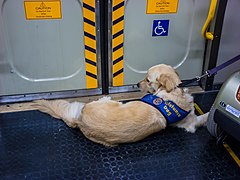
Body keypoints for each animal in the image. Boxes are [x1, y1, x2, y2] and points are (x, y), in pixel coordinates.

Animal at [33, 64, 208, 146]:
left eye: (147, 80)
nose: (136, 84)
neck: (174, 91)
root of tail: (79, 120)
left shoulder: (192, 121)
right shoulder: (192, 123)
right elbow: (206, 117)